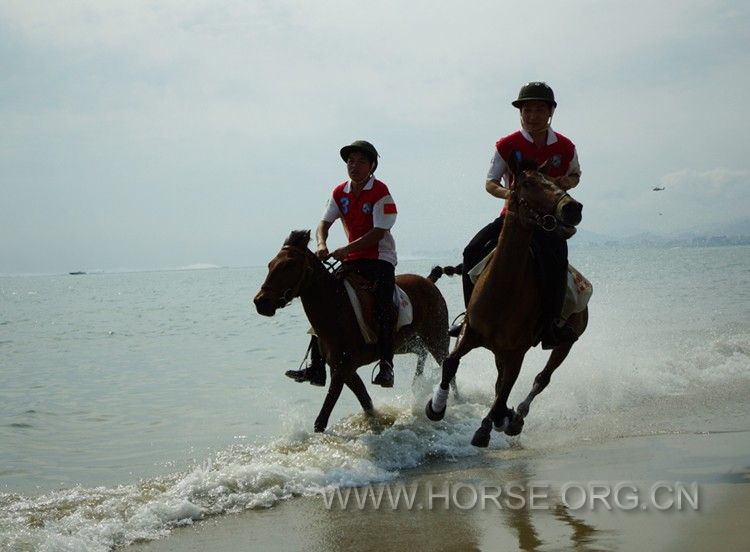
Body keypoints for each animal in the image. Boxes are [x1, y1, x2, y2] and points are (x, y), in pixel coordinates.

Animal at [253, 231, 452, 434]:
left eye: (289, 264)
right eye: (270, 264)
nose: (260, 302)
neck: (336, 308)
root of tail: (428, 281)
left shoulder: (343, 369)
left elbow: (324, 414)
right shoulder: (343, 369)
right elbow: (366, 401)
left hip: (437, 339)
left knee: (447, 368)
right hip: (405, 344)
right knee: (421, 352)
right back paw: (419, 384)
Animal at [426, 158, 592, 448]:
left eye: (556, 182)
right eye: (528, 183)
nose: (572, 209)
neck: (502, 290)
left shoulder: (517, 351)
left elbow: (506, 389)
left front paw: (486, 427)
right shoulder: (471, 333)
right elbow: (451, 364)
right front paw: (436, 407)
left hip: (565, 343)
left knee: (541, 379)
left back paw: (516, 418)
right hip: (497, 350)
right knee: (500, 381)